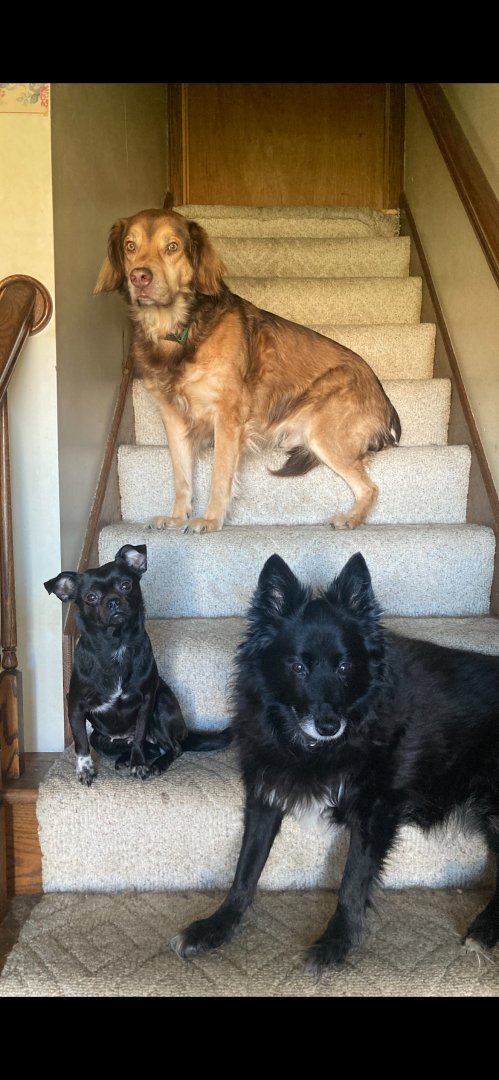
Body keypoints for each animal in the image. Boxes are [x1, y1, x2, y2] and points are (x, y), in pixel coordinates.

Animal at [44, 543, 231, 785]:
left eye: (126, 585)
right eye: (91, 597)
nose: (113, 601)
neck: (116, 645)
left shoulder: (146, 701)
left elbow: (140, 737)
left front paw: (139, 766)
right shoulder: (76, 705)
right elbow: (81, 744)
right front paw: (85, 770)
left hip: (160, 707)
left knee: (173, 747)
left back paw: (155, 764)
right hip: (100, 738)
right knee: (146, 747)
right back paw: (124, 759)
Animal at [95, 209, 401, 534]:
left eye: (172, 247)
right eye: (130, 246)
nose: (139, 277)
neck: (178, 333)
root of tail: (384, 400)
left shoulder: (228, 415)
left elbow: (220, 475)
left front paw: (210, 519)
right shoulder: (173, 417)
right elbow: (181, 476)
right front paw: (177, 516)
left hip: (324, 432)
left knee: (370, 487)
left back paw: (351, 518)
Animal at [172, 551, 499, 975]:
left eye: (345, 667)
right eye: (297, 667)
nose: (329, 725)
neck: (314, 747)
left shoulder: (374, 812)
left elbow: (352, 878)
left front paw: (337, 941)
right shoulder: (265, 793)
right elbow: (245, 870)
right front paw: (216, 926)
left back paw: (484, 929)